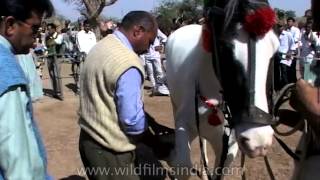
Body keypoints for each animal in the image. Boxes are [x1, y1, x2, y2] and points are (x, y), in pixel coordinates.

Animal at [165, 3, 280, 178]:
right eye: (223, 47)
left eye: (275, 49)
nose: (258, 140)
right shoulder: (183, 126)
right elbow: (182, 165)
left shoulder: (229, 147)